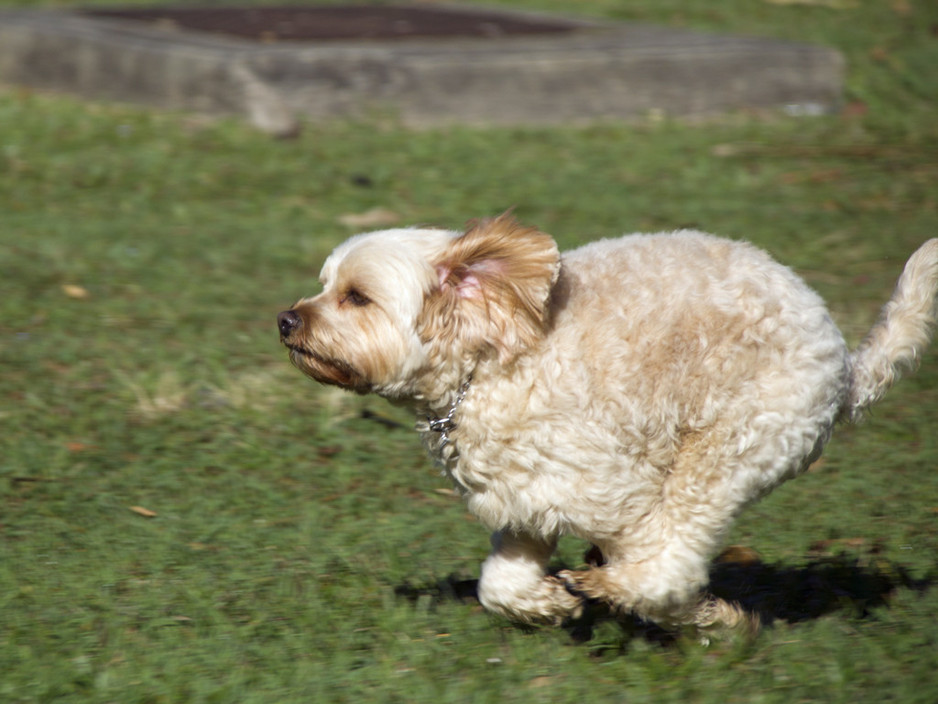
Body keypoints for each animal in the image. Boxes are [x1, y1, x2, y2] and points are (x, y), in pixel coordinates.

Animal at [278, 212, 936, 636]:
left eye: (356, 297)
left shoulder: (623, 496)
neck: (492, 364)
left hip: (725, 452)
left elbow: (666, 579)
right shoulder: (526, 503)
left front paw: (711, 620)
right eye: (325, 286)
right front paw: (547, 607)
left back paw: (616, 587)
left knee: (677, 547)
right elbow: (500, 587)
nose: (285, 320)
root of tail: (845, 364)